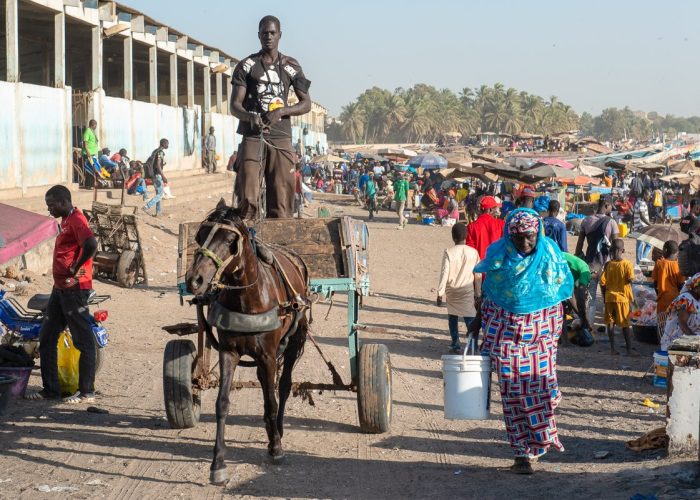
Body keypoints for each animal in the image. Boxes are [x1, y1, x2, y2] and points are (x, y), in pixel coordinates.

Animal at [186, 199, 308, 484]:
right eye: (199, 236)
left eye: (231, 239)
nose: (195, 280)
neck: (248, 297)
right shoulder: (229, 352)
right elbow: (222, 403)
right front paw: (218, 464)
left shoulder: (268, 355)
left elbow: (272, 399)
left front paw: (276, 448)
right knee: (266, 384)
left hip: (294, 340)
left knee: (282, 386)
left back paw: (278, 430)